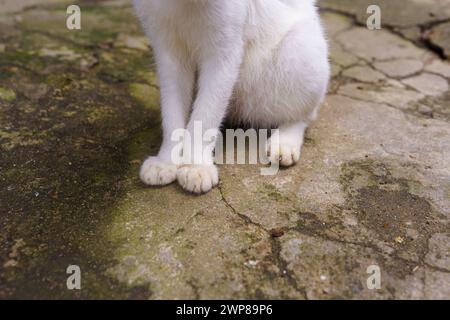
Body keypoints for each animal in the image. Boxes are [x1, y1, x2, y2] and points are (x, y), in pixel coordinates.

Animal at [132, 0, 328, 194]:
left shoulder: (223, 53)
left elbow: (205, 116)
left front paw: (196, 167)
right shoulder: (167, 54)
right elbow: (171, 114)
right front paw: (166, 161)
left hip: (298, 51)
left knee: (304, 116)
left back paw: (284, 144)